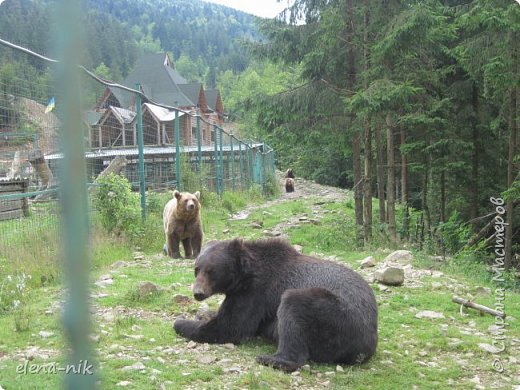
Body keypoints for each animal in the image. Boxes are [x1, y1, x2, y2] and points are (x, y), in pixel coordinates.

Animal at [174, 238, 378, 372]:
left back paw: (271, 359)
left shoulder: (256, 293)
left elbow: (231, 326)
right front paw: (203, 314)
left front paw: (180, 321)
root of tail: (367, 346)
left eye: (211, 271)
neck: (244, 276)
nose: (198, 293)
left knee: (293, 309)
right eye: (196, 269)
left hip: (336, 315)